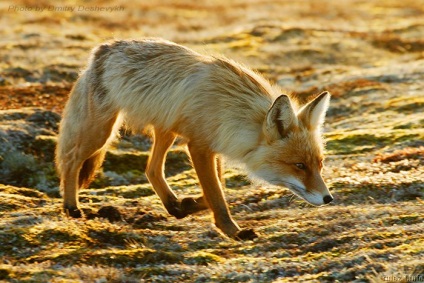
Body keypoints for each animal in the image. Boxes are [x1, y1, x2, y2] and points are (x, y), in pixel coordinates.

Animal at [55, 38, 332, 240]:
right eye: (299, 165)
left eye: (319, 164)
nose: (329, 198)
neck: (232, 109)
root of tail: (102, 49)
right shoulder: (198, 146)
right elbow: (217, 194)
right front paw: (233, 231)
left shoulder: (214, 146)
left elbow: (217, 187)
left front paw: (190, 204)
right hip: (101, 133)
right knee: (71, 161)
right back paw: (71, 207)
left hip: (165, 130)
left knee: (151, 169)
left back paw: (173, 206)